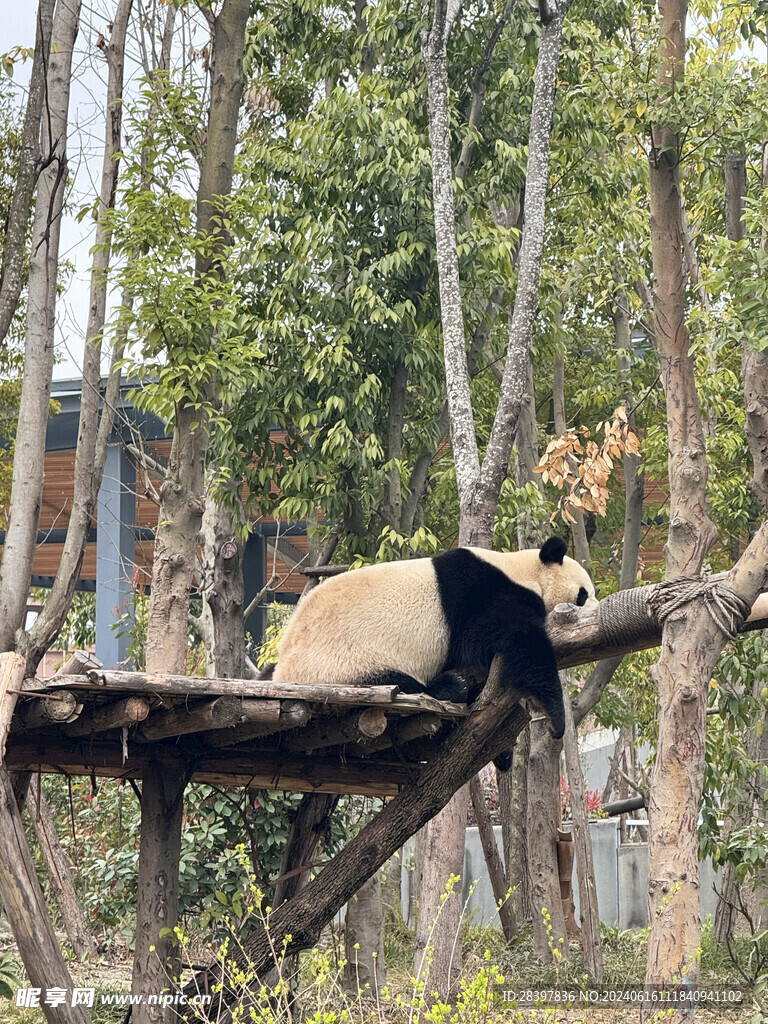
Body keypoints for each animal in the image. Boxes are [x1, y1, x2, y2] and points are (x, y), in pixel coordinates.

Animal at [270, 536, 602, 761]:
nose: (597, 609)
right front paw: (555, 716)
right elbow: (514, 643)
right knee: (395, 683)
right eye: (583, 594)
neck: (522, 571)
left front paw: (503, 753)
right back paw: (447, 687)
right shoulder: (485, 595)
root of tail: (281, 672)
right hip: (341, 664)